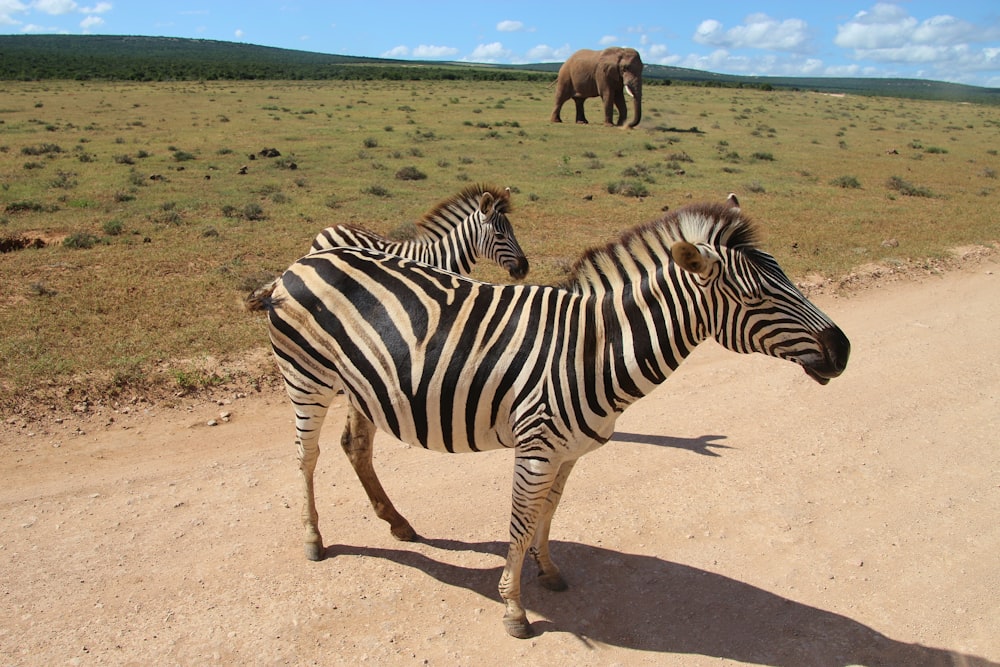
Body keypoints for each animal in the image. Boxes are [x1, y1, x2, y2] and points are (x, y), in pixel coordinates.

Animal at [254, 197, 848, 636]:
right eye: (758, 297)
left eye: (787, 278)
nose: (843, 349)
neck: (591, 351)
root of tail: (300, 263)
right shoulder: (536, 449)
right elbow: (518, 524)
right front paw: (515, 610)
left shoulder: (570, 452)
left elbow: (549, 513)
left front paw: (549, 570)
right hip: (306, 378)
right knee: (306, 459)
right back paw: (314, 540)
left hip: (362, 385)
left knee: (355, 447)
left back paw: (398, 523)